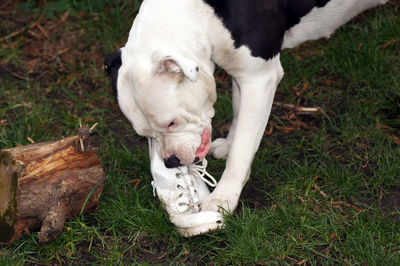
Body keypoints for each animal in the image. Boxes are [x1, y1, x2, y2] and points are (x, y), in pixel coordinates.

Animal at [104, 0, 390, 213]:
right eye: (146, 136)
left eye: (171, 123)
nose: (171, 161)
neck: (201, 12)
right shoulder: (242, 73)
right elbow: (239, 115)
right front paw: (230, 145)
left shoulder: (259, 77)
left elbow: (242, 149)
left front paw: (224, 196)